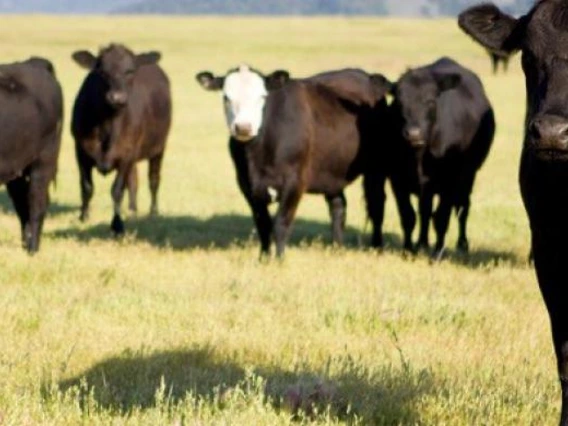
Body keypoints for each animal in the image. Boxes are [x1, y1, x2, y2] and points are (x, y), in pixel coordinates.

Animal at [70, 43, 171, 235]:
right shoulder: (81, 150)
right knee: (133, 181)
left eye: (130, 71)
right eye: (102, 72)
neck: (107, 125)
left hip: (159, 148)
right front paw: (83, 217)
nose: (117, 98)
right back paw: (132, 210)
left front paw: (117, 224)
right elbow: (86, 186)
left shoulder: (126, 154)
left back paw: (153, 212)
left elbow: (117, 190)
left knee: (153, 179)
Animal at [197, 63, 392, 256]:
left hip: (376, 168)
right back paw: (337, 249)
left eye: (262, 96)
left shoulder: (294, 181)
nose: (243, 128)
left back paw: (377, 248)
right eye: (226, 97)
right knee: (338, 207)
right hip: (332, 171)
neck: (258, 154)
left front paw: (279, 260)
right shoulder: (247, 185)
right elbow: (263, 225)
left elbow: (281, 224)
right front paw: (264, 258)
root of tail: (363, 74)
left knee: (376, 205)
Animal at [388, 55, 494, 258]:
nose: (413, 134)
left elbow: (442, 217)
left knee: (462, 208)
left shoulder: (451, 180)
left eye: (430, 101)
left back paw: (462, 244)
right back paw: (422, 243)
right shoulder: (397, 179)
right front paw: (408, 250)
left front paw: (437, 253)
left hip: (468, 176)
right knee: (425, 210)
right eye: (399, 102)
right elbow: (408, 215)